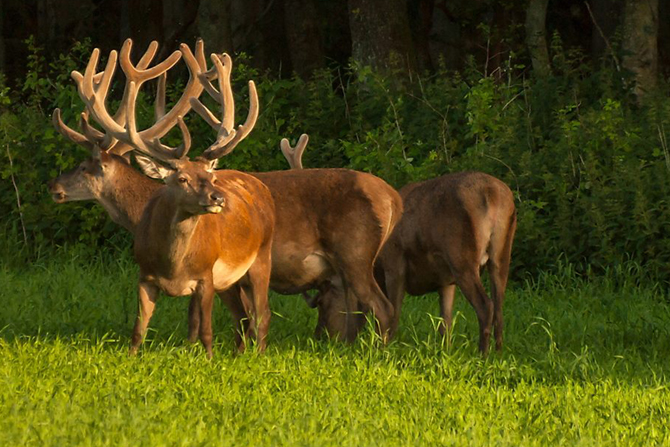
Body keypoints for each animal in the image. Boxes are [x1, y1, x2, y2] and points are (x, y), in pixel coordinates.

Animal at [284, 144, 520, 354]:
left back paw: (483, 353)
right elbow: (445, 322)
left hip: (462, 257)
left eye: (322, 303)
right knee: (499, 305)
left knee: (486, 306)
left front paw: (388, 347)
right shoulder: (445, 280)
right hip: (502, 255)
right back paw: (498, 352)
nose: (319, 336)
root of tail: (494, 196)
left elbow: (394, 312)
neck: (376, 262)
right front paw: (445, 352)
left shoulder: (394, 263)